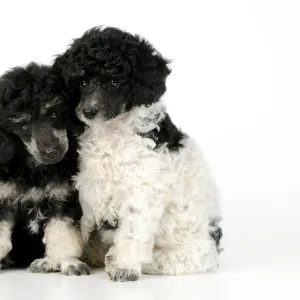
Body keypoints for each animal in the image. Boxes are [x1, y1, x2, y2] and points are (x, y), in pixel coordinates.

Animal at [0, 62, 89, 276]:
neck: (35, 169)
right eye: (24, 126)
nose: (50, 152)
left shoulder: (62, 199)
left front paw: (66, 261)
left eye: (54, 114)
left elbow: (62, 233)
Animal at [54, 26, 223, 282]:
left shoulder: (141, 192)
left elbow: (132, 233)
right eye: (82, 81)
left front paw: (124, 266)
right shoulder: (87, 188)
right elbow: (79, 225)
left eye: (114, 82)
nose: (88, 111)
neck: (111, 133)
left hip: (195, 250)